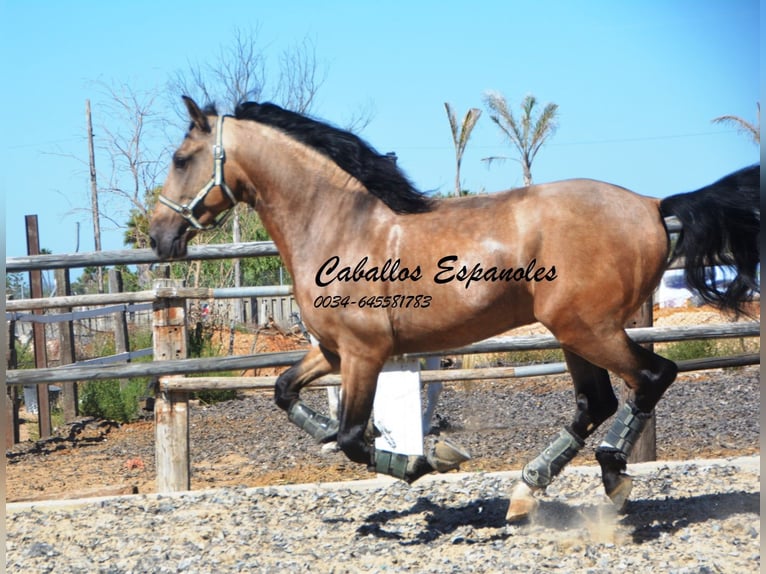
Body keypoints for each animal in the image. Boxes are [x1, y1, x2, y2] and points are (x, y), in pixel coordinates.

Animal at [150, 97, 760, 524]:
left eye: (181, 159)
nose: (158, 238)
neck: (338, 225)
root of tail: (652, 206)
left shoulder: (365, 354)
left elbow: (353, 437)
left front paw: (426, 460)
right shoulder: (332, 351)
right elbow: (285, 393)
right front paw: (343, 436)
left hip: (589, 329)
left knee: (653, 376)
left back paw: (613, 475)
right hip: (575, 333)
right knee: (597, 401)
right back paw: (527, 488)